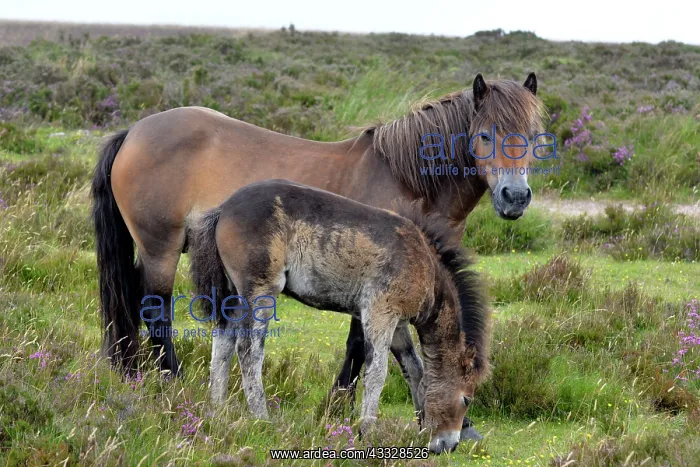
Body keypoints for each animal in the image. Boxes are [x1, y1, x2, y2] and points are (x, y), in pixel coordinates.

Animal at [188, 179, 492, 454]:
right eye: (466, 400)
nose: (448, 445)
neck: (422, 262)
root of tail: (223, 209)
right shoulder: (380, 314)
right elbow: (376, 372)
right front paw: (367, 431)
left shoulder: (397, 326)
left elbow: (414, 370)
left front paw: (420, 429)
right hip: (260, 293)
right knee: (248, 351)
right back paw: (261, 418)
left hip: (232, 298)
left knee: (223, 346)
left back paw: (217, 412)